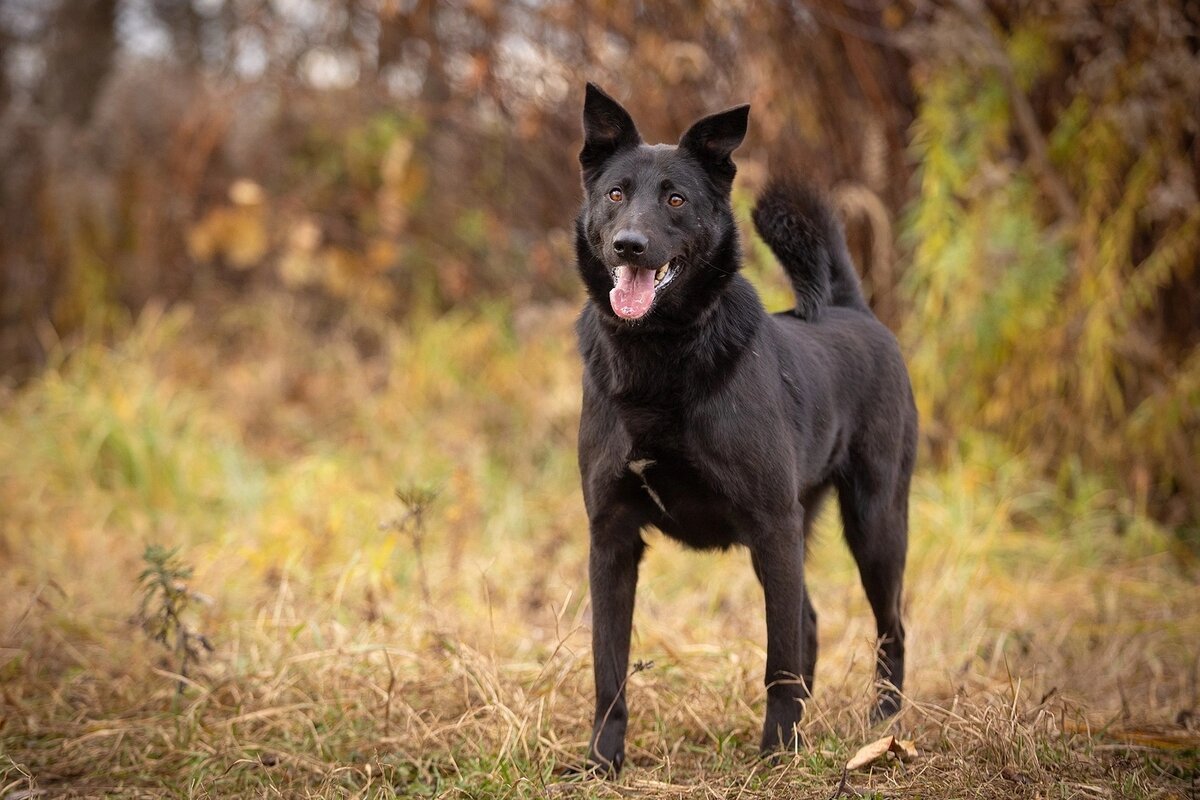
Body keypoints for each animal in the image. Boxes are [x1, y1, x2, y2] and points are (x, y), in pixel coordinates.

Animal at [571, 82, 916, 777]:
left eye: (676, 199)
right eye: (616, 194)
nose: (629, 245)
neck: (660, 358)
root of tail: (852, 308)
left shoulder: (770, 523)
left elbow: (778, 660)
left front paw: (778, 753)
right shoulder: (611, 537)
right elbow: (608, 667)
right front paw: (602, 762)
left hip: (874, 524)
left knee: (888, 627)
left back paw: (881, 727)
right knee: (808, 620)